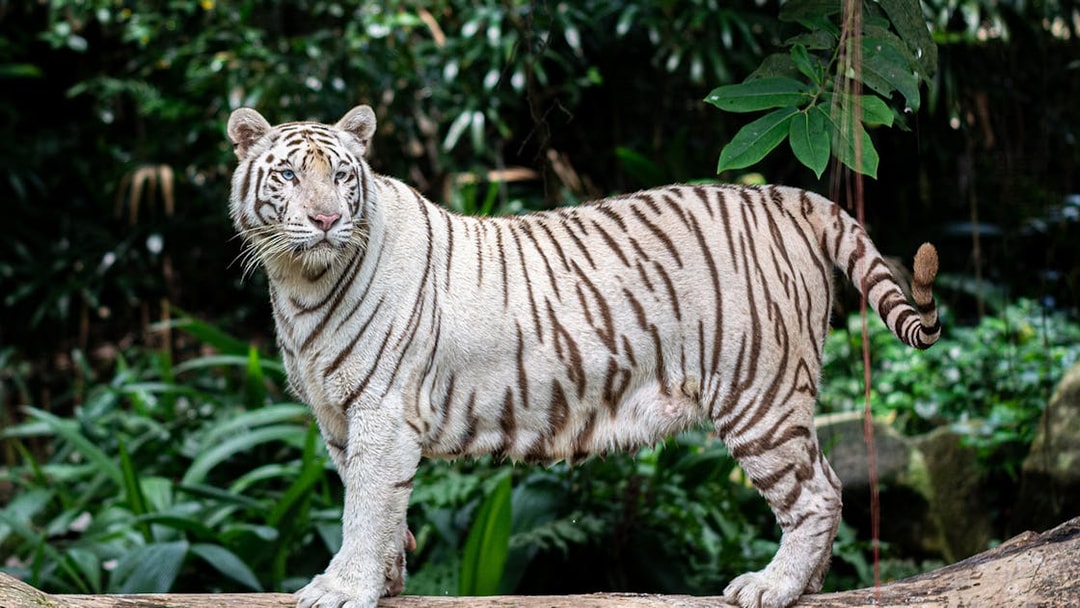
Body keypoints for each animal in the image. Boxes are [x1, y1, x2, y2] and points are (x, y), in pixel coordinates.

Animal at [225, 104, 940, 608]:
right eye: (288, 174)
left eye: (342, 175)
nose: (325, 221)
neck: (298, 282)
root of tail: (786, 195)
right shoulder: (339, 421)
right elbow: (377, 505)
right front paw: (388, 579)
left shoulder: (380, 412)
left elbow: (365, 505)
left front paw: (342, 588)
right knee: (832, 484)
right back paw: (812, 585)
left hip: (757, 393)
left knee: (816, 492)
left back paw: (774, 587)